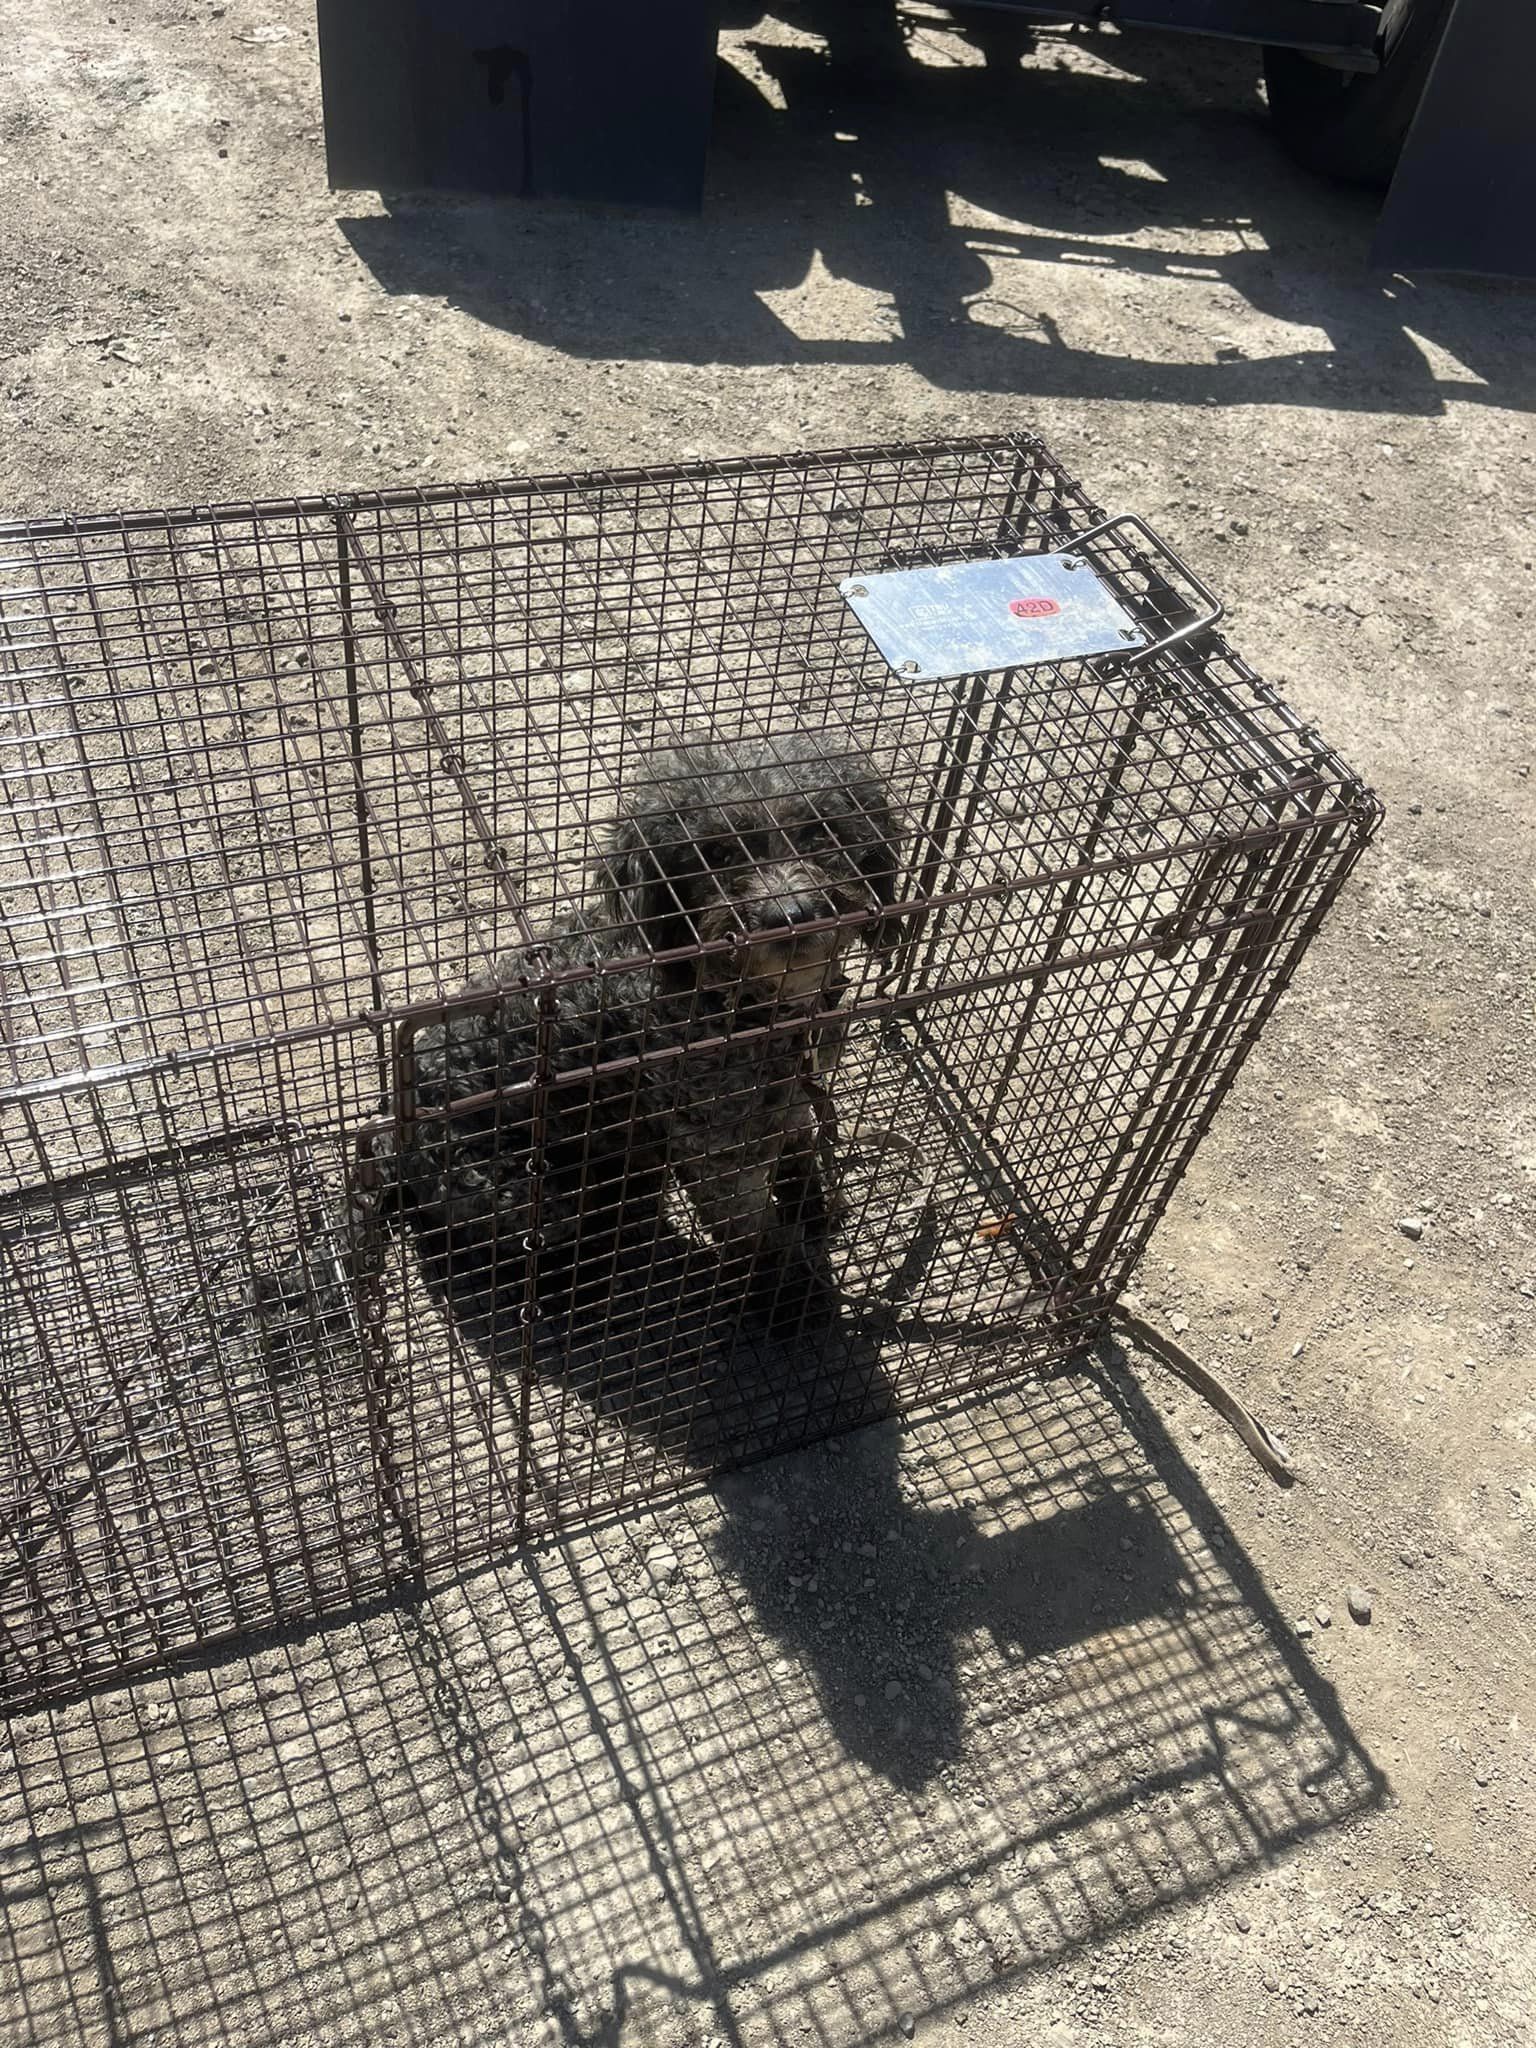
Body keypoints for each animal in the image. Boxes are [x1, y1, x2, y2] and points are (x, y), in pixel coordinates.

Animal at [264, 737, 901, 1343]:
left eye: (819, 832)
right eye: (716, 854)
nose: (790, 915)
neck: (742, 1004)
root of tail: (388, 1138)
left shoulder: (785, 1104)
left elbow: (801, 1159)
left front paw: (818, 1208)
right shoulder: (716, 1152)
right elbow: (761, 1241)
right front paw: (797, 1299)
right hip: (529, 1192)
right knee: (526, 1256)